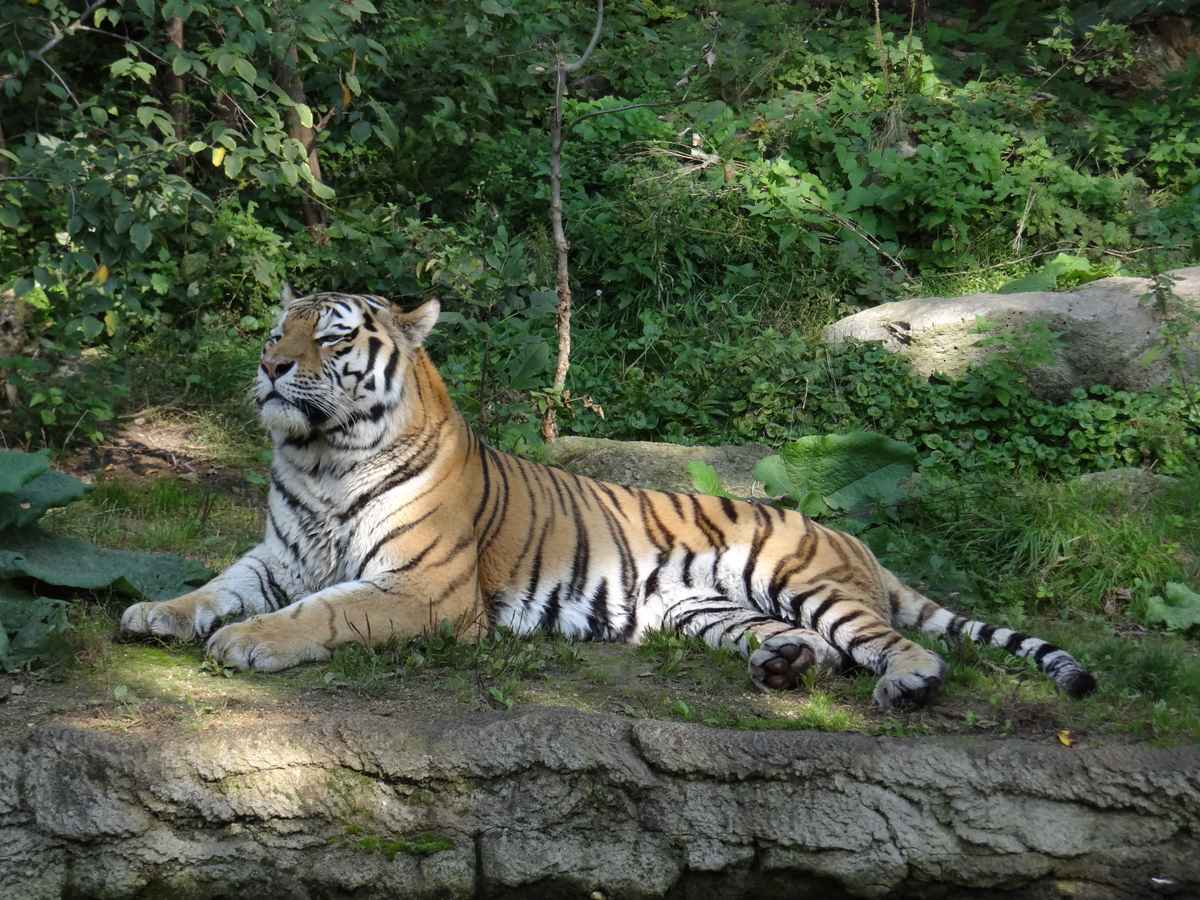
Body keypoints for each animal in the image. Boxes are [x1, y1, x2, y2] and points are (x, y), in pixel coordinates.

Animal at [120, 289, 1097, 709]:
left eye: (328, 336)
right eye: (274, 326)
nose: (269, 365)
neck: (322, 456)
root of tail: (856, 544)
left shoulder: (421, 589)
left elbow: (321, 612)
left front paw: (247, 643)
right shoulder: (276, 556)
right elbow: (214, 585)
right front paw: (158, 614)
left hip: (804, 580)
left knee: (895, 643)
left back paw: (908, 684)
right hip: (708, 610)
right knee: (811, 647)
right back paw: (783, 669)